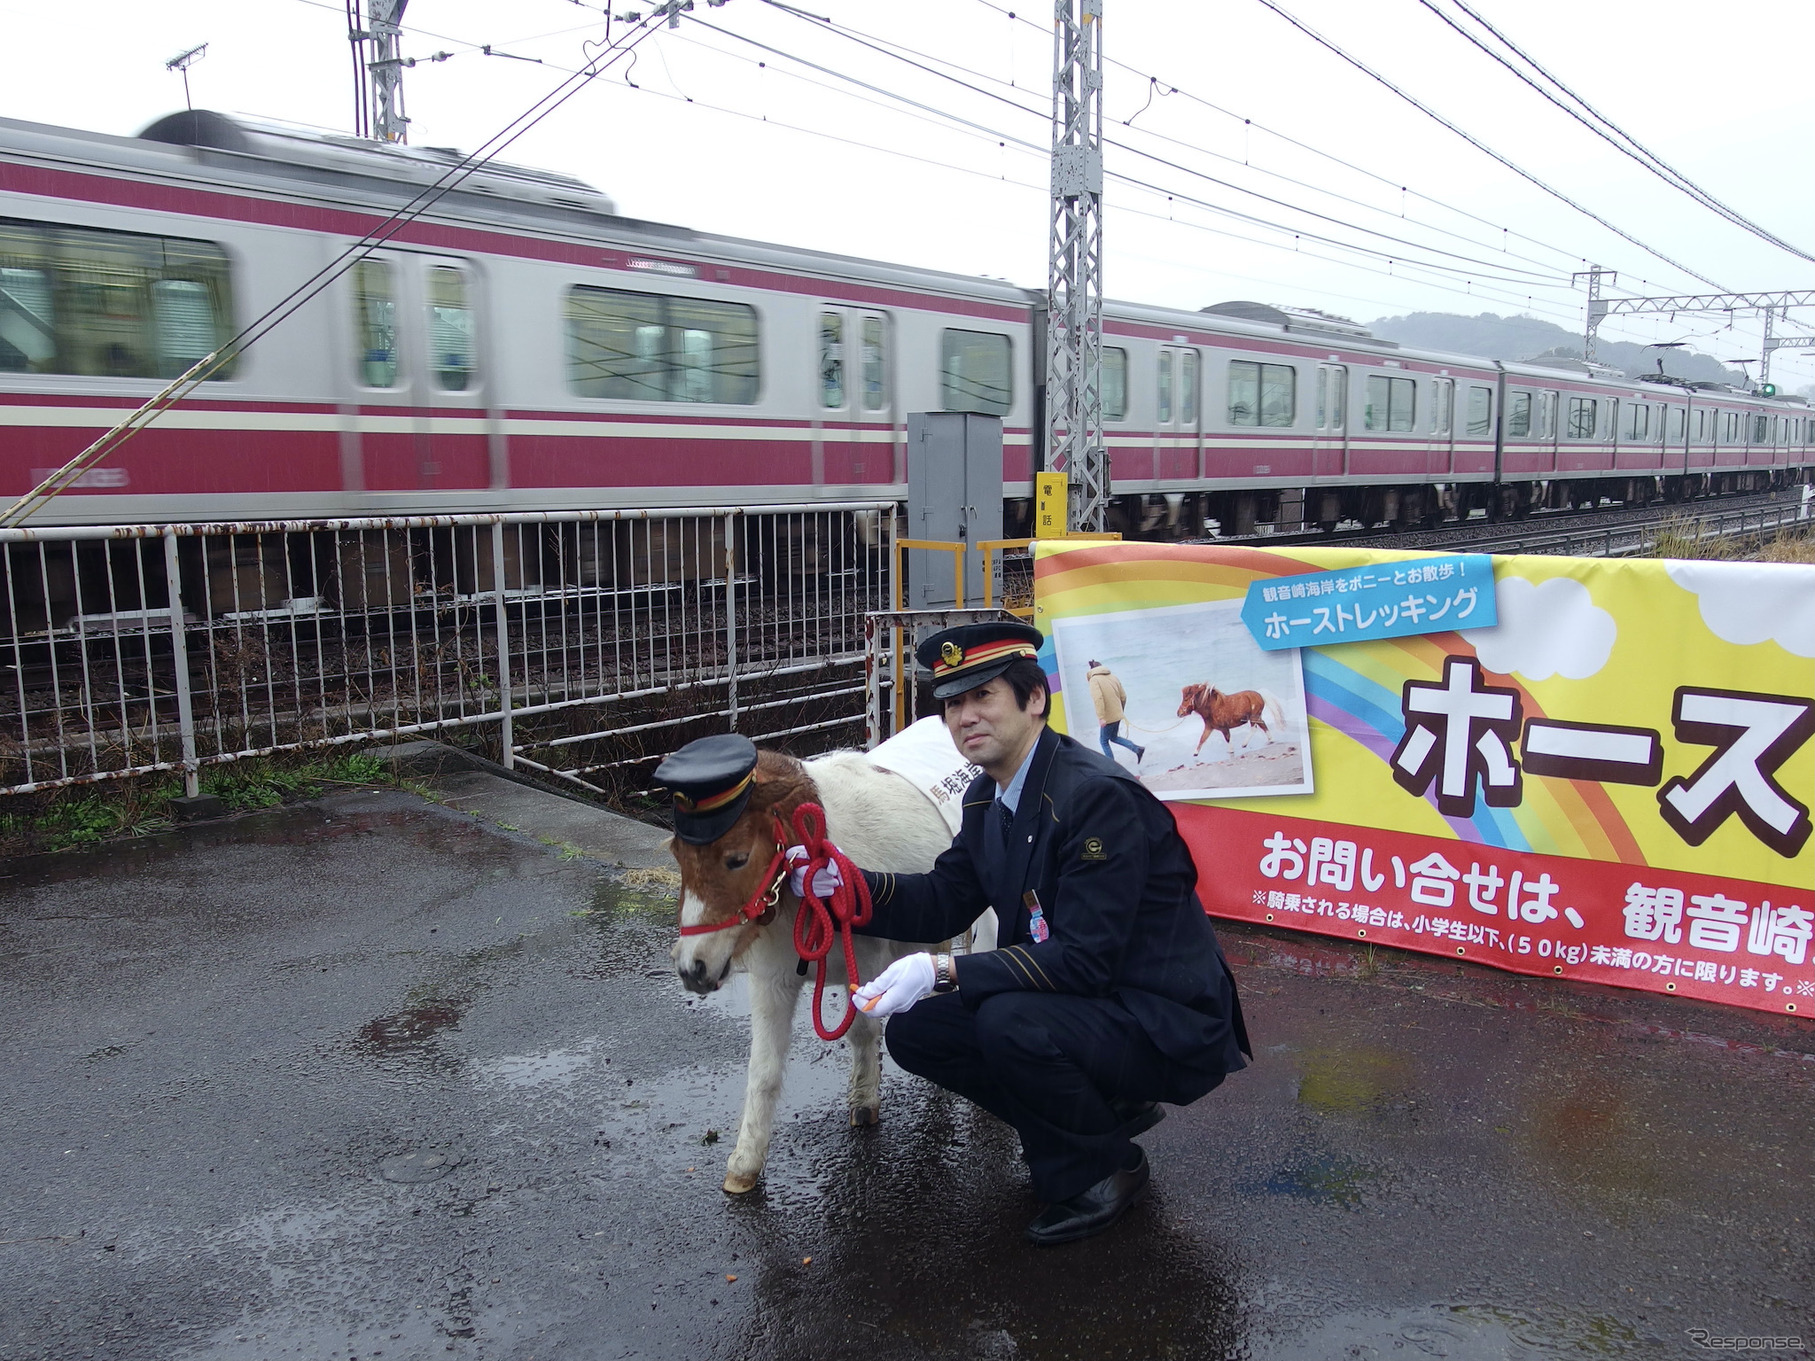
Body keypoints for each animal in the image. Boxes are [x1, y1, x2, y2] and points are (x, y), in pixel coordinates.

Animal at [671, 747, 980, 1190]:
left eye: (737, 859)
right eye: (677, 856)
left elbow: (863, 1030)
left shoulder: (865, 964)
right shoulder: (773, 981)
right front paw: (745, 1162)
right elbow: (763, 1070)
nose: (692, 968)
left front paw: (865, 1102)